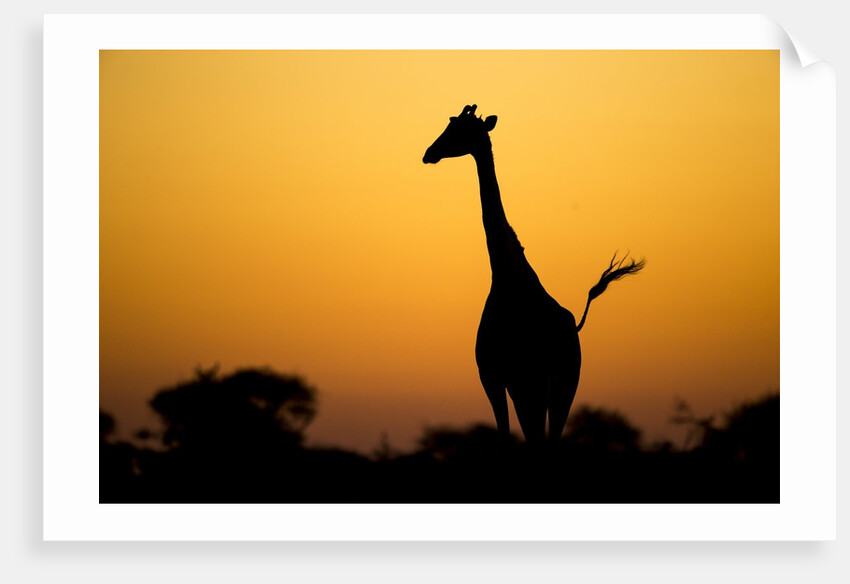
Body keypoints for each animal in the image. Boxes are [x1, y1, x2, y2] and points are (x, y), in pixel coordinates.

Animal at [422, 104, 644, 442]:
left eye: (459, 129)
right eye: (450, 124)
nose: (429, 153)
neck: (507, 277)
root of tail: (574, 326)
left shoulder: (513, 376)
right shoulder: (500, 378)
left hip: (552, 384)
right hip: (544, 386)